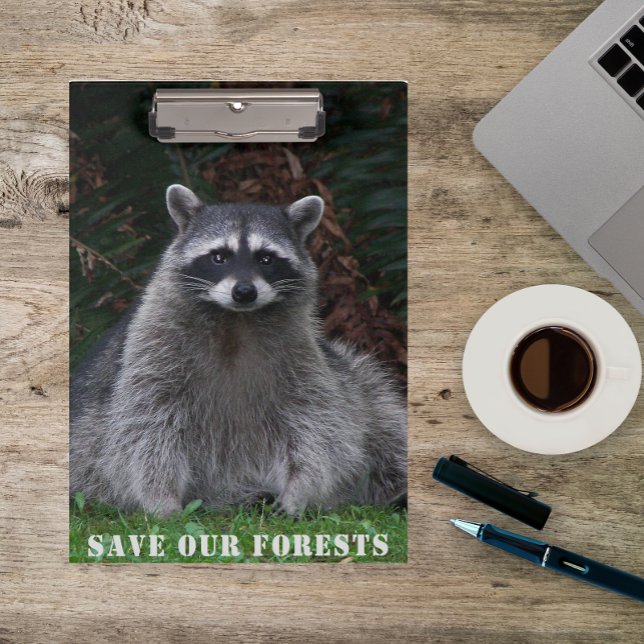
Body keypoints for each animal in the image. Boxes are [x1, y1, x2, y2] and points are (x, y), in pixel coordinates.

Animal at [70, 185, 407, 517]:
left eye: (266, 259)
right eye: (219, 257)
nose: (244, 292)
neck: (236, 320)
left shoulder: (304, 355)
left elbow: (316, 423)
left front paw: (299, 488)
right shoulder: (150, 350)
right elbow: (146, 426)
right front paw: (161, 496)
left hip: (355, 378)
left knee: (384, 417)